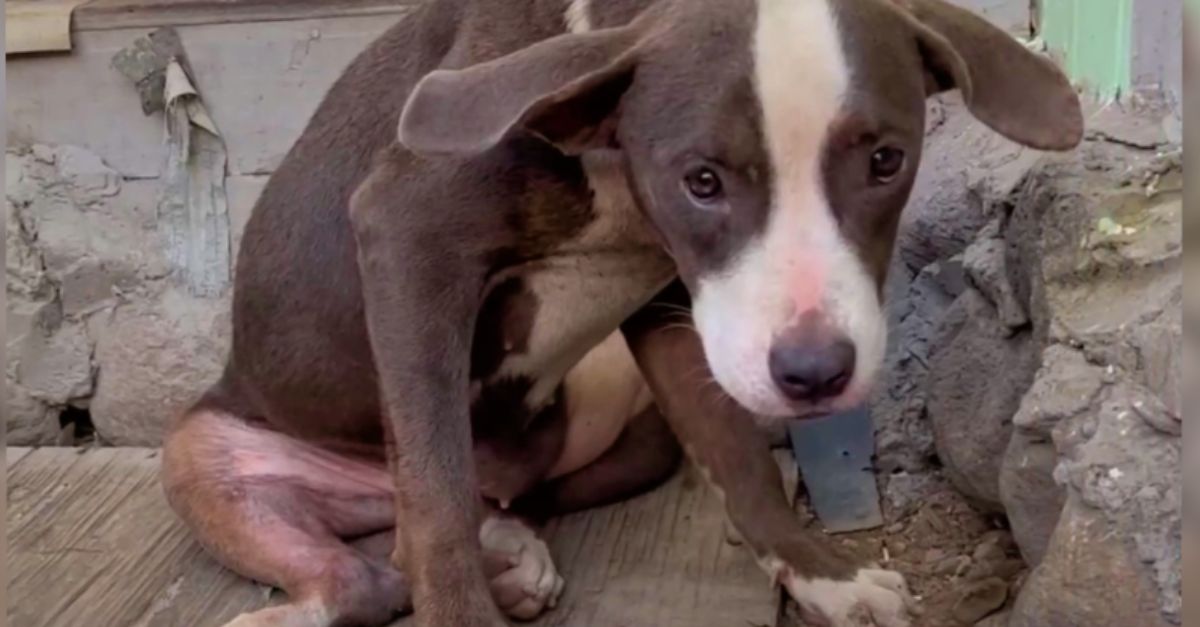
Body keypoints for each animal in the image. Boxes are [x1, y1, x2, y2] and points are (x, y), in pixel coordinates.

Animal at [162, 1, 1089, 624]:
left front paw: (824, 576)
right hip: (202, 452)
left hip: (617, 415)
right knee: (378, 558)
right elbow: (432, 498)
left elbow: (738, 453)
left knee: (501, 505)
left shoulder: (677, 303)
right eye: (701, 180)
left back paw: (512, 553)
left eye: (886, 161)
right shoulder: (403, 233)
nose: (816, 375)